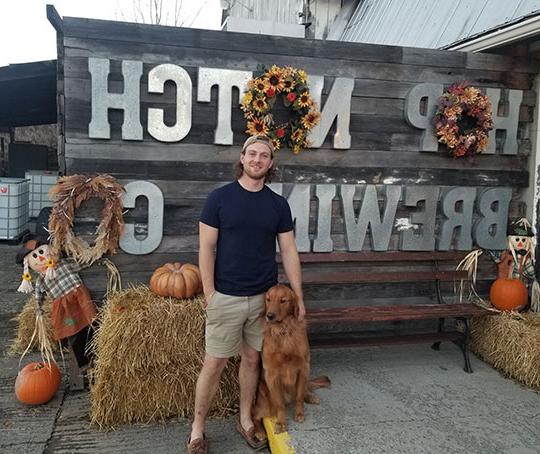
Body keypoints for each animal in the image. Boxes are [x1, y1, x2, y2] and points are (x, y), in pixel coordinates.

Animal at [252, 284, 330, 436]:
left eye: (283, 300)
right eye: (268, 299)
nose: (269, 316)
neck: (284, 330)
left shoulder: (304, 368)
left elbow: (299, 397)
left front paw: (299, 413)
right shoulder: (271, 374)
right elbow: (280, 404)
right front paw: (281, 422)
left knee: (303, 390)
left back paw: (310, 397)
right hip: (264, 399)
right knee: (255, 415)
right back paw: (259, 432)